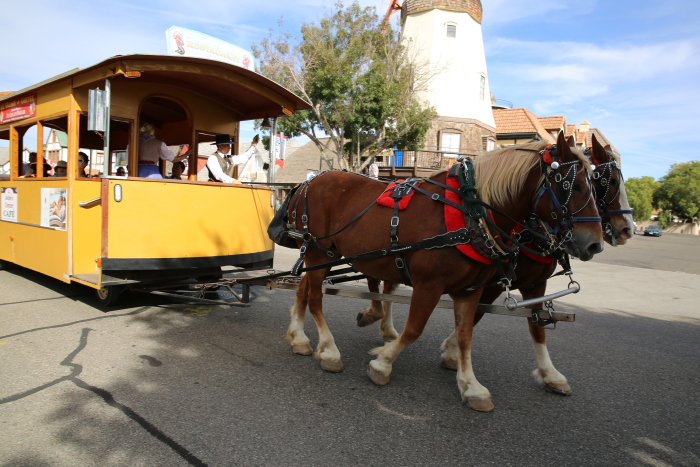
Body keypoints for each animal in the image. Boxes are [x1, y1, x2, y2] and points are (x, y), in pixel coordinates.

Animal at [278, 132, 600, 410]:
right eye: (572, 186)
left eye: (595, 185)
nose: (594, 243)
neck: (470, 213)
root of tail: (309, 182)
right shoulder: (429, 285)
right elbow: (414, 329)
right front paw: (382, 362)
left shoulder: (472, 289)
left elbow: (467, 334)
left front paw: (471, 386)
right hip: (319, 251)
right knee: (316, 297)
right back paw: (329, 350)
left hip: (324, 255)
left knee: (304, 289)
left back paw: (300, 338)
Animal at [358, 134, 636, 402]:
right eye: (605, 183)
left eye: (595, 183)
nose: (625, 230)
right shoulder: (487, 283)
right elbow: (472, 319)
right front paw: (447, 354)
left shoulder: (533, 284)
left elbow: (533, 327)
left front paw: (550, 374)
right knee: (378, 281)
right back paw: (377, 319)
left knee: (387, 284)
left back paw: (385, 327)